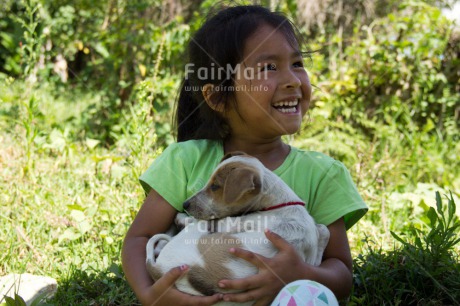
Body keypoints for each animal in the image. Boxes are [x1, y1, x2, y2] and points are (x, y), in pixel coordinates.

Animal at [146, 153, 328, 304]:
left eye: (215, 186)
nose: (184, 205)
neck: (283, 205)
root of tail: (159, 269)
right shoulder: (314, 253)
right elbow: (323, 231)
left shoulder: (232, 221)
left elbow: (211, 220)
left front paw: (182, 218)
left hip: (199, 231)